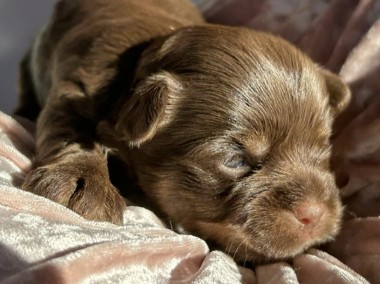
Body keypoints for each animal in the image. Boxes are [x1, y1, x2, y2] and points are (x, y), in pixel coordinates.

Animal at [17, 0, 350, 264]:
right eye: (236, 160)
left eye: (323, 151)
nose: (316, 213)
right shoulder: (75, 88)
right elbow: (72, 130)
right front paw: (81, 181)